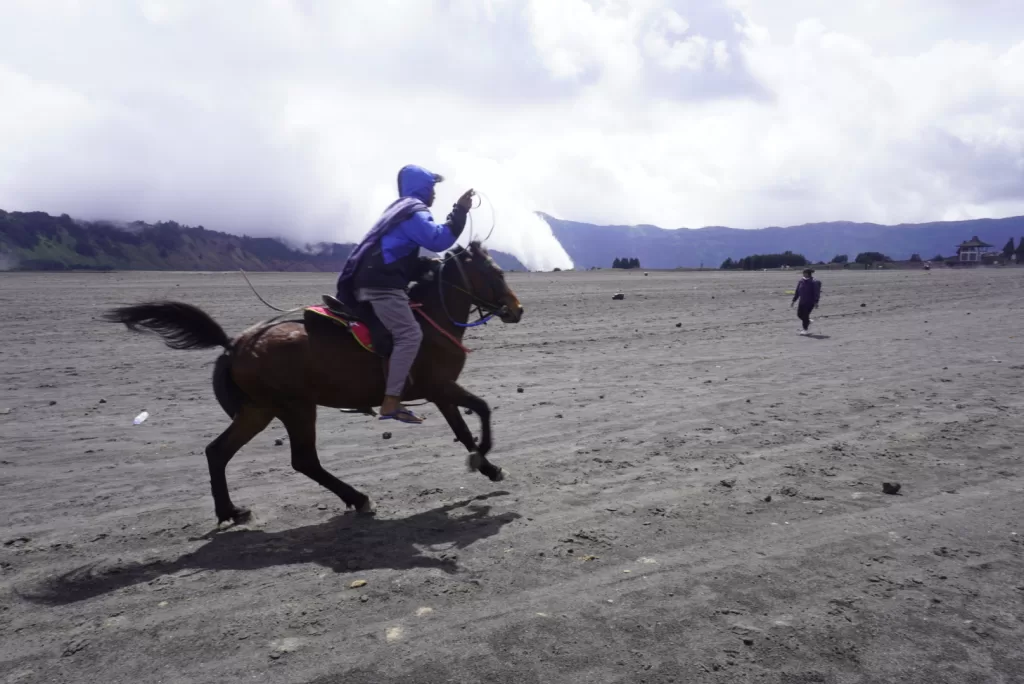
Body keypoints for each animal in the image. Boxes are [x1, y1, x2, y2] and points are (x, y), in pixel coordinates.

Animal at [99, 240, 524, 524]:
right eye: (496, 273)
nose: (517, 309)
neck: (429, 320)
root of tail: (236, 344)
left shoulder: (440, 392)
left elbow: (463, 430)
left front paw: (488, 467)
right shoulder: (439, 387)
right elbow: (482, 410)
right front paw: (484, 456)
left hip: (259, 410)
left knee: (217, 452)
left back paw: (231, 510)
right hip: (296, 407)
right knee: (303, 459)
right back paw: (357, 498)